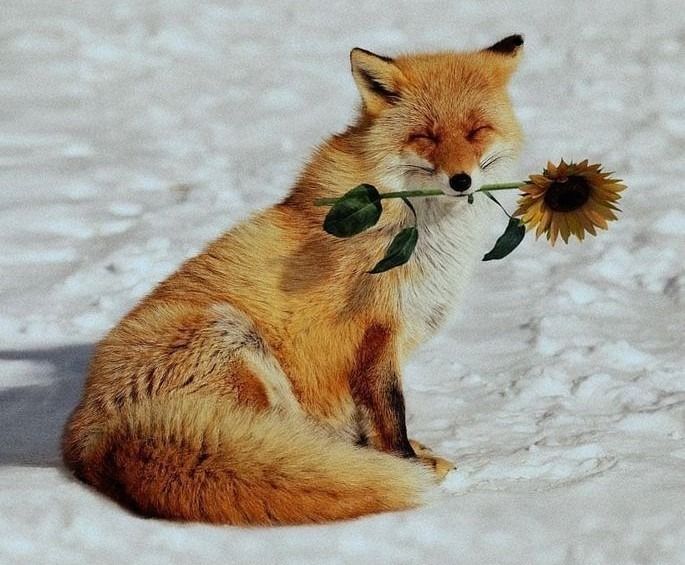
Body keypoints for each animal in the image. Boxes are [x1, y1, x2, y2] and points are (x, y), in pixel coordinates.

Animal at [62, 34, 525, 525]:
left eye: (476, 131)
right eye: (426, 136)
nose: (461, 181)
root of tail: (91, 439)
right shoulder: (373, 331)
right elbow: (389, 413)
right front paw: (405, 462)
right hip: (234, 337)